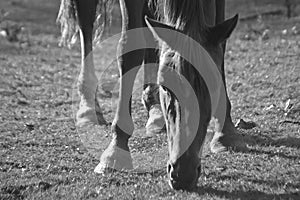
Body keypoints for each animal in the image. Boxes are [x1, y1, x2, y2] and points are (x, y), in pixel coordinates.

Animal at [56, 0, 246, 191]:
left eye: (213, 85)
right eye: (165, 87)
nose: (183, 173)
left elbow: (221, 47)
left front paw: (225, 132)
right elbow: (129, 47)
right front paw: (116, 149)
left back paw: (154, 110)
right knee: (85, 23)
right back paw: (88, 108)